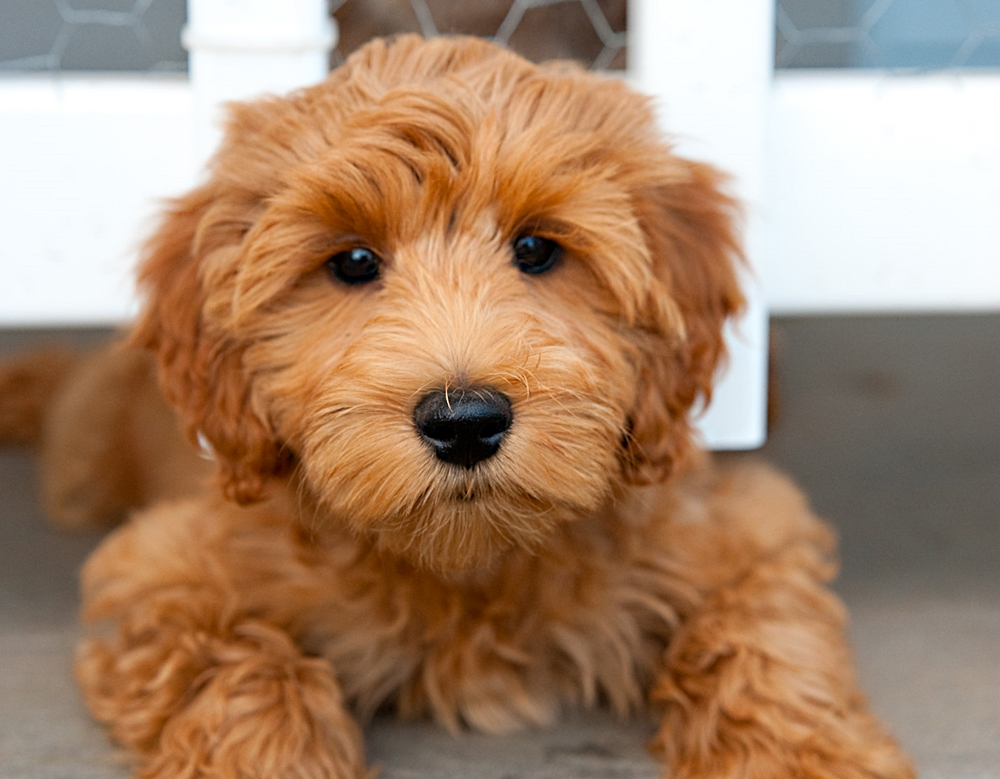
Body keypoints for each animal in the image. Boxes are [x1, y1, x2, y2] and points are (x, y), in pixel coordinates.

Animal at [0, 33, 912, 779]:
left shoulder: (741, 525)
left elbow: (765, 635)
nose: (464, 421)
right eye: (353, 261)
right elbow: (236, 668)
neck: (469, 564)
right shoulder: (161, 567)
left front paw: (804, 757)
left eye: (537, 249)